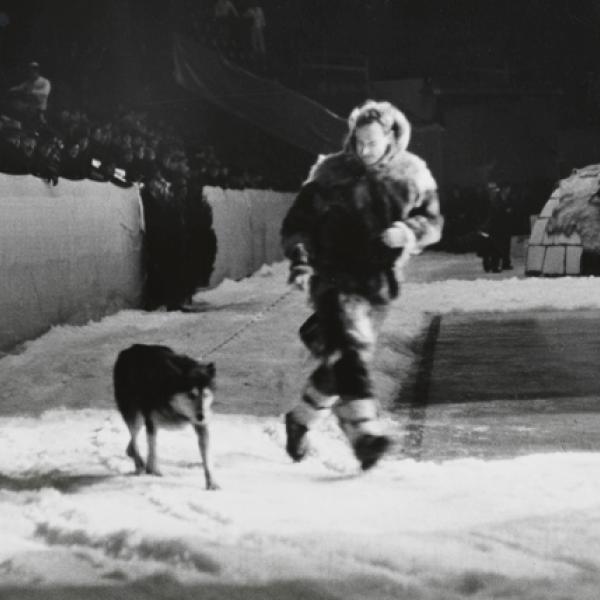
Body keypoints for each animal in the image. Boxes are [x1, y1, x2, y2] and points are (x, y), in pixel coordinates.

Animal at [112, 344, 218, 490]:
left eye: (206, 395)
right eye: (191, 395)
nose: (202, 416)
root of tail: (128, 349)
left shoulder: (200, 426)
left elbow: (207, 457)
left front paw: (212, 483)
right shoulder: (151, 420)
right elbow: (153, 448)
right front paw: (153, 470)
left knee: (132, 445)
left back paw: (134, 456)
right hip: (134, 413)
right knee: (134, 439)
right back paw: (139, 464)